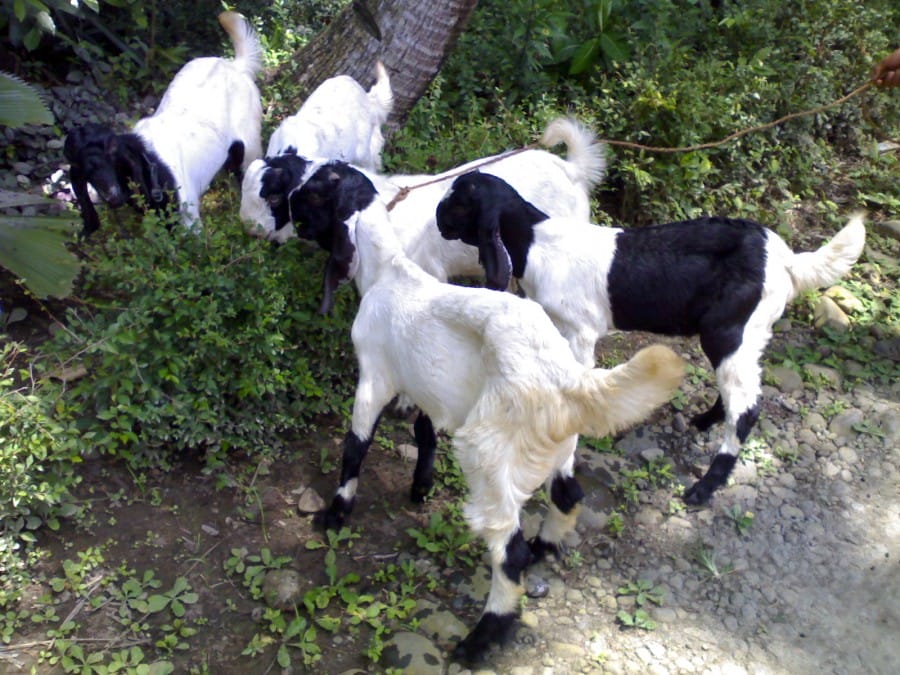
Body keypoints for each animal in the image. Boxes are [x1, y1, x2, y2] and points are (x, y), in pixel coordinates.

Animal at [63, 9, 264, 238]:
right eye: (84, 168)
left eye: (113, 154)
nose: (111, 195)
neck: (151, 163)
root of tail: (234, 66)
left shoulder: (189, 221)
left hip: (250, 147)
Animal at [292, 161, 684, 664]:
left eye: (316, 193)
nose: (290, 212)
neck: (390, 275)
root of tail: (565, 380)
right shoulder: (431, 385)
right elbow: (424, 432)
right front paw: (420, 487)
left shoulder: (374, 376)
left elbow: (354, 446)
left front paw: (335, 514)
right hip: (559, 442)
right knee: (568, 494)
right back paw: (543, 547)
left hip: (488, 453)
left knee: (507, 551)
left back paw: (480, 639)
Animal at [436, 174, 864, 508]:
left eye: (460, 202)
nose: (438, 220)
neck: (535, 240)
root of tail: (785, 259)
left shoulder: (580, 332)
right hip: (746, 336)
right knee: (741, 391)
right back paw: (706, 420)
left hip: (728, 331)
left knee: (747, 408)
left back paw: (705, 488)